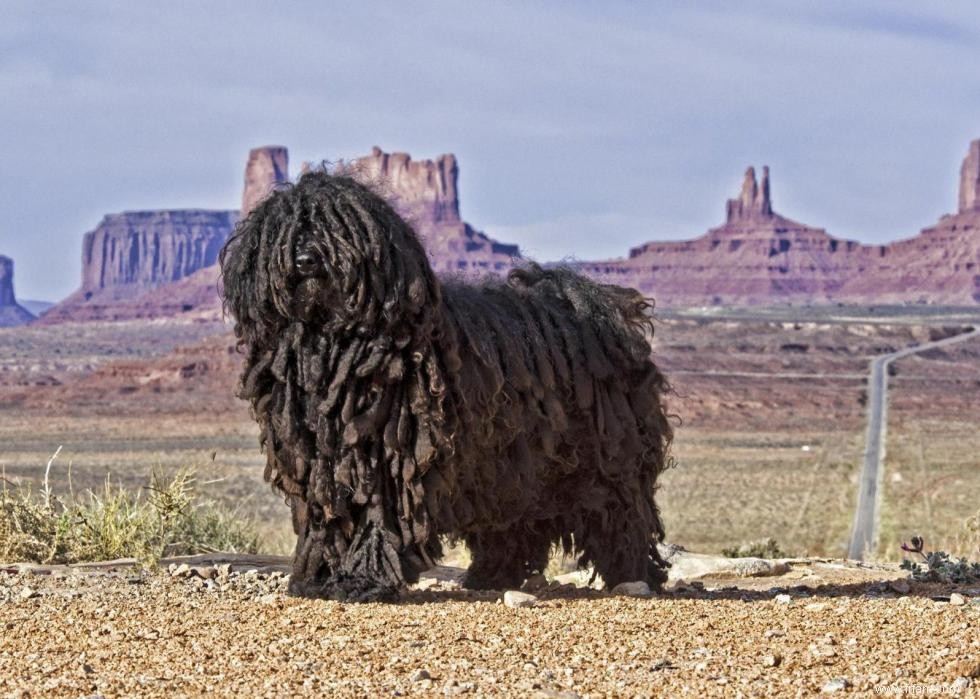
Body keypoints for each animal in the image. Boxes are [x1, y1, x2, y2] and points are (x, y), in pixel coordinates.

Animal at [218, 171, 668, 600]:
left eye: (341, 228)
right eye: (286, 230)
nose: (307, 259)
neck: (331, 343)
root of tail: (597, 306)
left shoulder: (386, 455)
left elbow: (377, 514)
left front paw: (363, 580)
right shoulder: (320, 459)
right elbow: (326, 517)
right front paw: (318, 577)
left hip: (603, 451)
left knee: (619, 509)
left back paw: (631, 572)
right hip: (508, 461)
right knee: (512, 517)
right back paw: (491, 573)